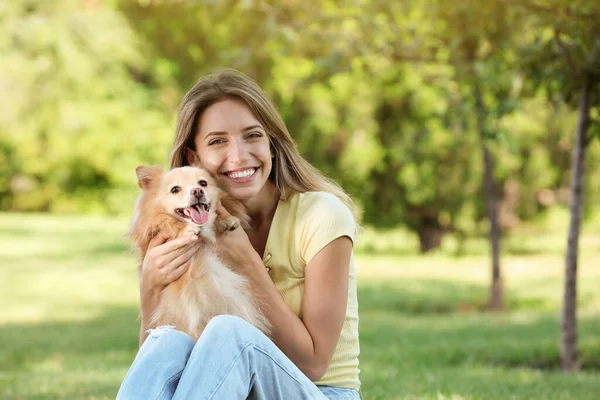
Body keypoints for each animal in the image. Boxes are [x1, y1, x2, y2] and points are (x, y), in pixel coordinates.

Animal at [128, 166, 270, 340]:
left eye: (203, 183)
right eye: (175, 190)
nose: (197, 191)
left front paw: (226, 221)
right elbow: (169, 225)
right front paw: (187, 229)